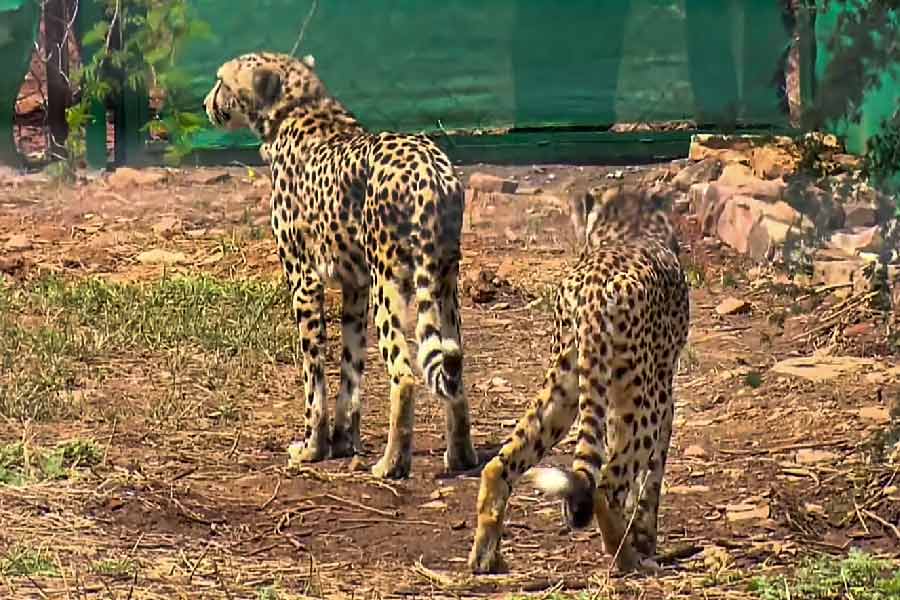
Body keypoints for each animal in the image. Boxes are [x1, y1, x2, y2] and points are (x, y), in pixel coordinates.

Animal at [203, 54, 478, 480]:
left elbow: (313, 375)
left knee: (404, 374)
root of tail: (429, 167)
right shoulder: (355, 286)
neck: (297, 109)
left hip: (389, 283)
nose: (205, 102)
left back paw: (391, 464)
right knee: (453, 367)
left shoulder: (305, 281)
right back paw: (461, 455)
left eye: (222, 81)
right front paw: (343, 441)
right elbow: (350, 370)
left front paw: (312, 448)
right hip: (444, 283)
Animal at [464, 185, 688, 576]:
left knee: (499, 465)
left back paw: (486, 557)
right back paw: (627, 561)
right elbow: (651, 477)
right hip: (644, 399)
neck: (628, 228)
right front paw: (645, 538)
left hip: (564, 388)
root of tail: (595, 290)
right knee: (607, 485)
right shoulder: (663, 392)